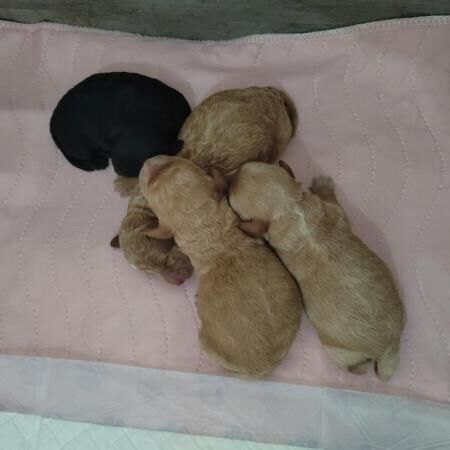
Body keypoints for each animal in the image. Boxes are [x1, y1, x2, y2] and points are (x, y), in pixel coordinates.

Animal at [227, 161, 406, 380]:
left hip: (338, 350)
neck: (292, 210)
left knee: (358, 367)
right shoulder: (333, 210)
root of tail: (387, 345)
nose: (229, 179)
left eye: (230, 195)